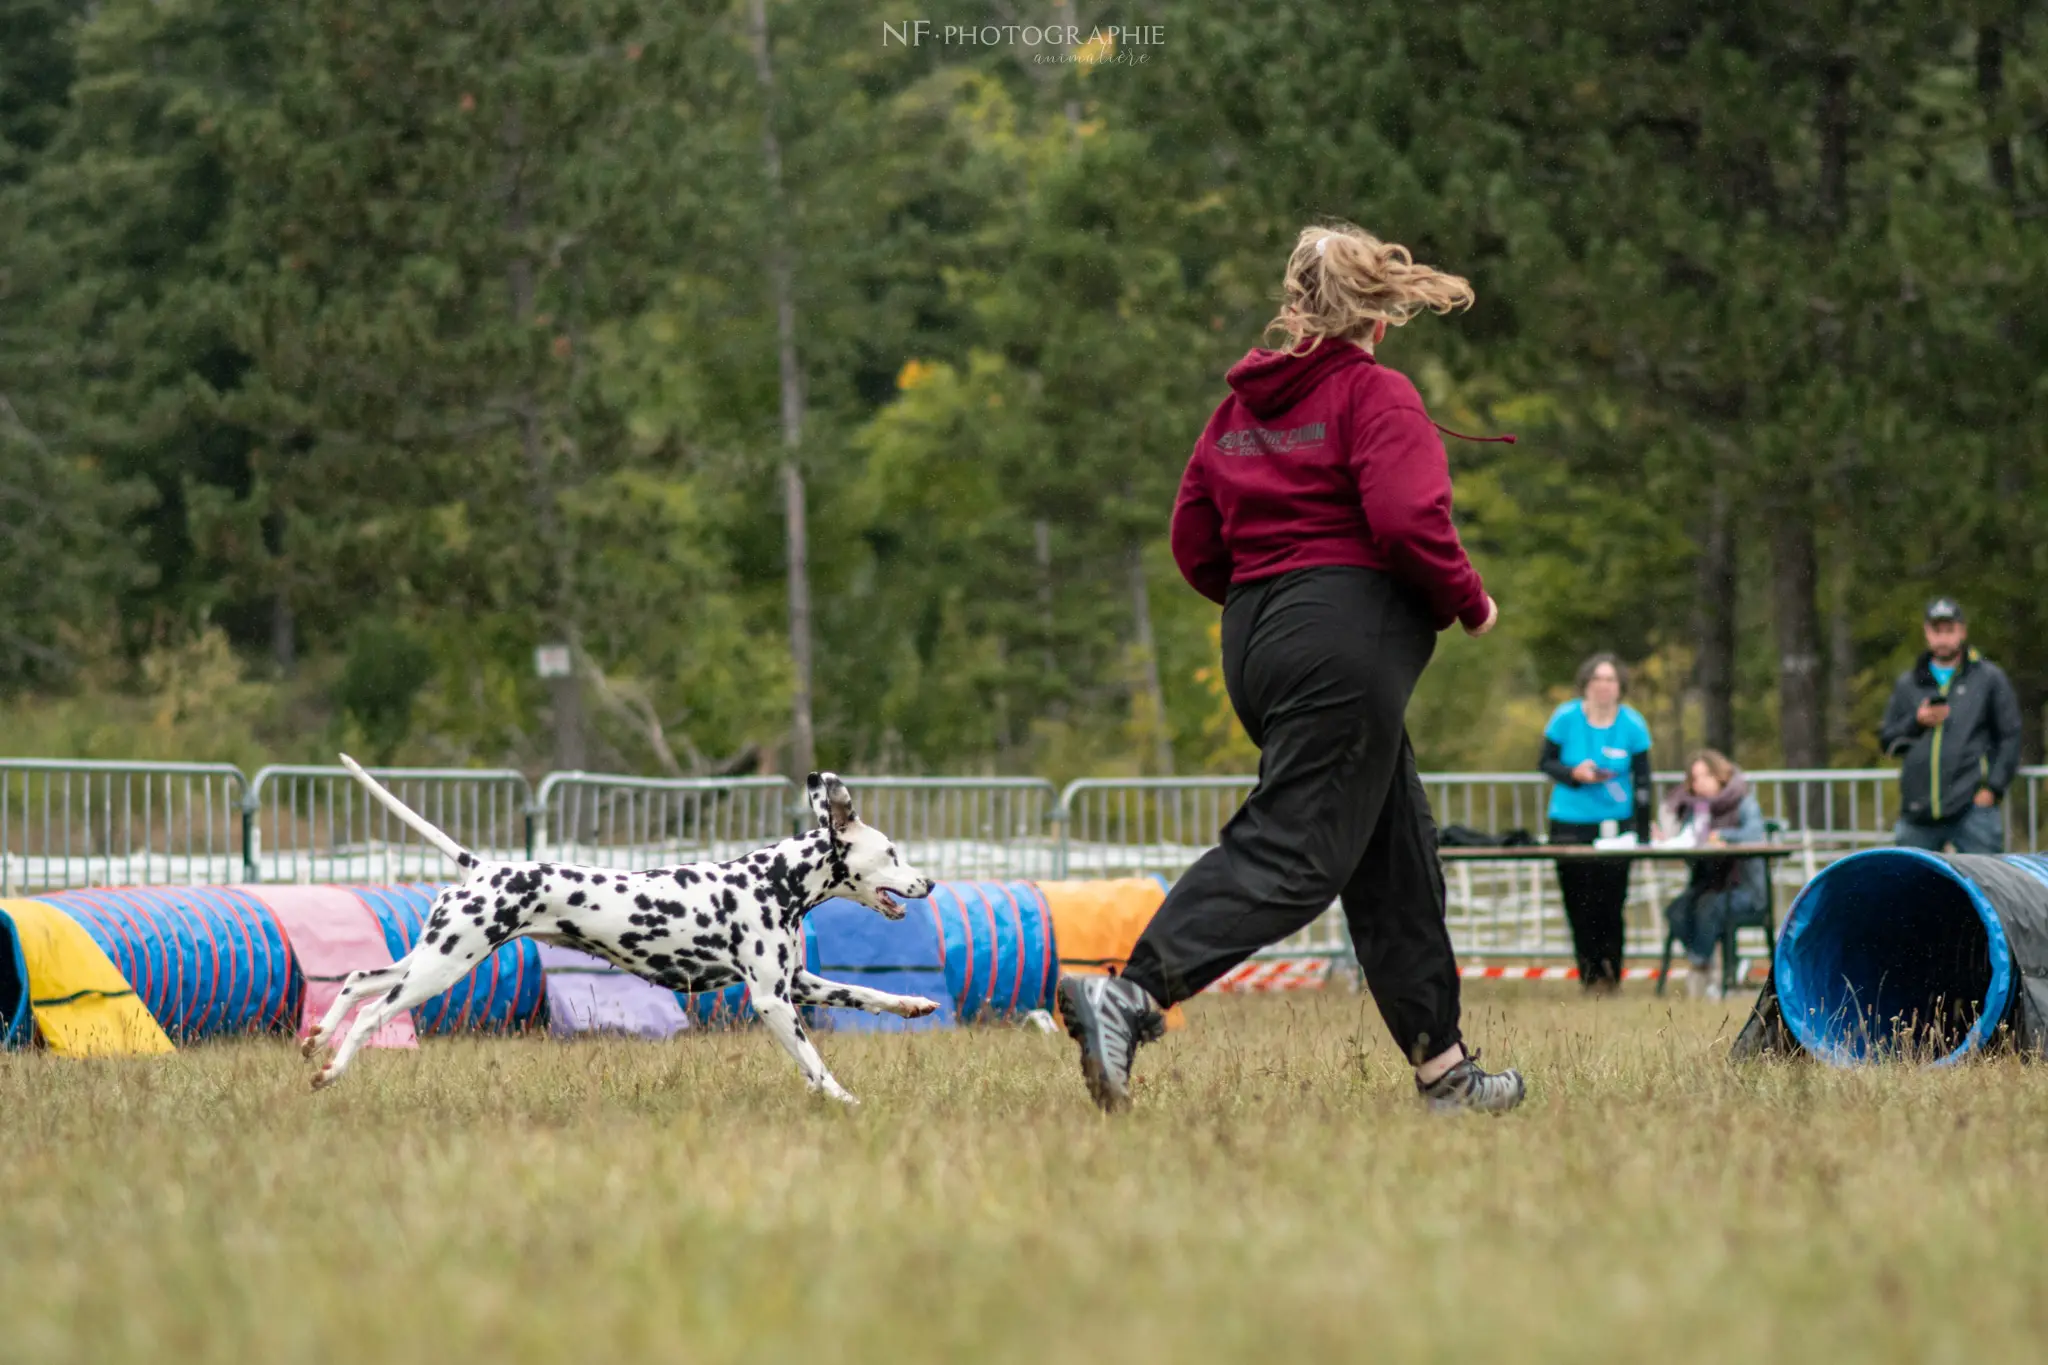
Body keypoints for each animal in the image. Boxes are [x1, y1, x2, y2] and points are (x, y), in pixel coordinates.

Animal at [299, 753, 937, 1105]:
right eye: (892, 852)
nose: (929, 882)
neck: (772, 881)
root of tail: (482, 868)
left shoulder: (798, 982)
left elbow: (867, 993)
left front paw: (912, 1004)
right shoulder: (772, 1001)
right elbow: (815, 1062)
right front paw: (844, 1100)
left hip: (432, 956)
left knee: (356, 979)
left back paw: (315, 1040)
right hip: (443, 968)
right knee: (372, 1013)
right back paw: (330, 1072)